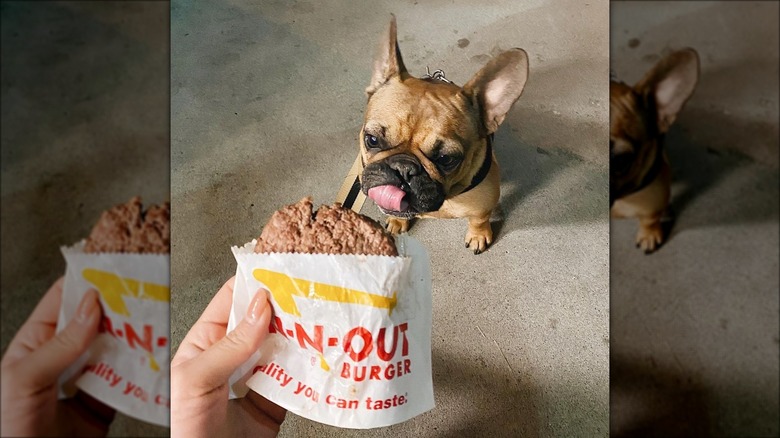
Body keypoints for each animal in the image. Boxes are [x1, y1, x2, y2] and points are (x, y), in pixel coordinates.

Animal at [356, 15, 528, 253]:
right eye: (372, 140)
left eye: (446, 159)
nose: (403, 168)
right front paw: (398, 221)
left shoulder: (484, 203)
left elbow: (479, 219)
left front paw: (478, 235)